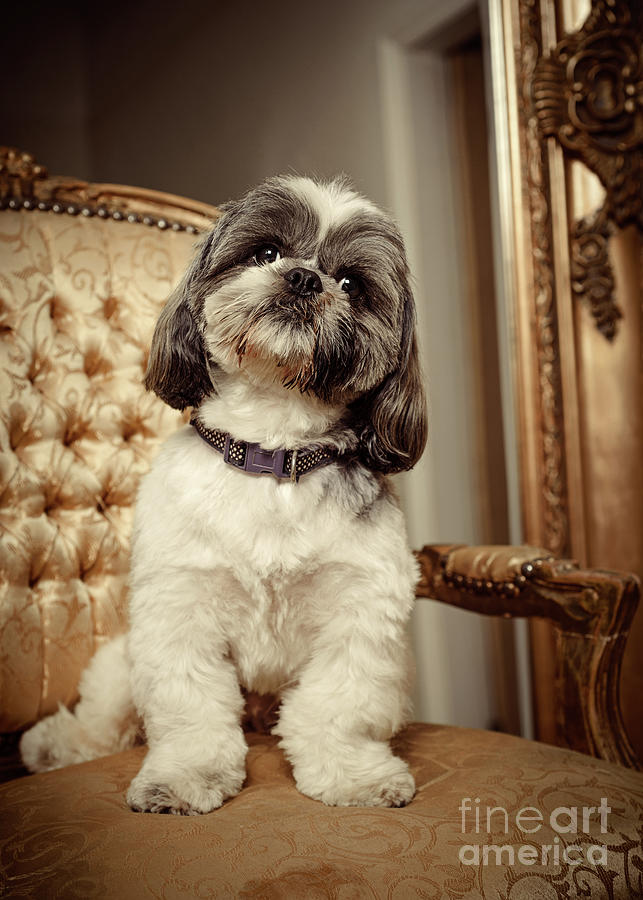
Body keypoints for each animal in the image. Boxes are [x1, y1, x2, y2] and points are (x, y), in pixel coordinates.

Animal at [21, 178, 428, 816]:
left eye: (350, 284)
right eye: (265, 253)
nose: (304, 278)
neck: (272, 454)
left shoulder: (360, 613)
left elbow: (338, 707)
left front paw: (353, 776)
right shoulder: (179, 608)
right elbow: (192, 711)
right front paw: (184, 778)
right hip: (119, 664)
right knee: (103, 720)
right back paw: (56, 745)